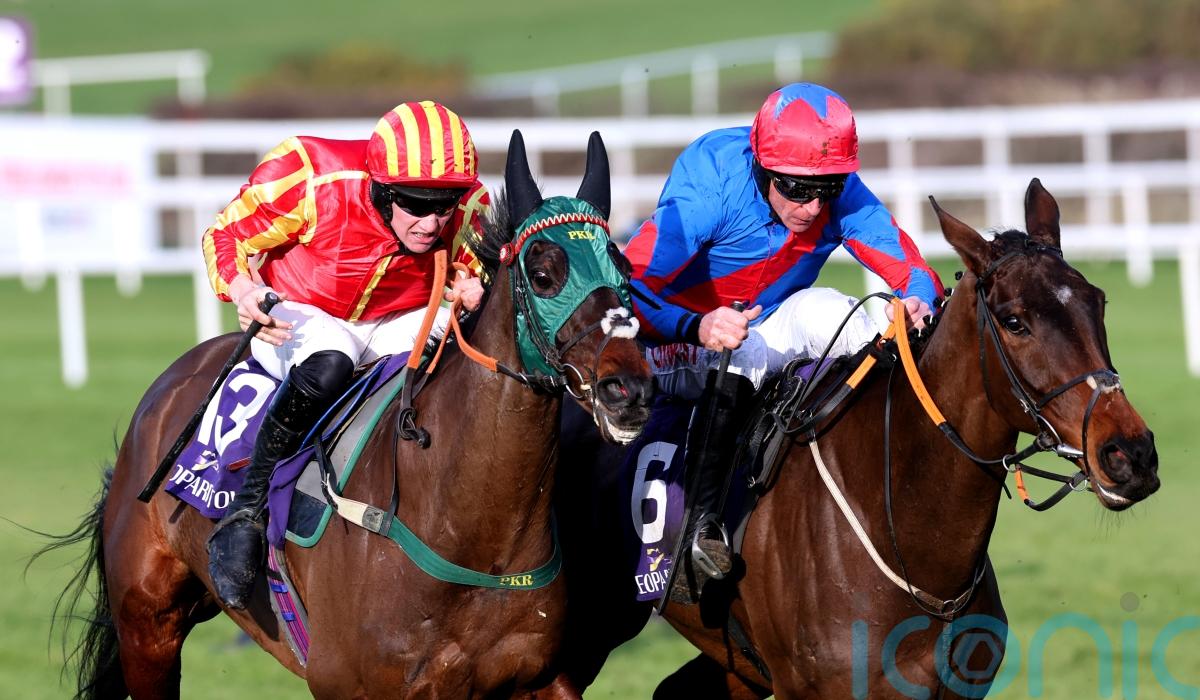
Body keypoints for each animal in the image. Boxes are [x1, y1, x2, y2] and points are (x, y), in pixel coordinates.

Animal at [41, 129, 654, 699]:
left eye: (625, 270)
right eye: (544, 274)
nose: (627, 389)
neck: (473, 533)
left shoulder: (540, 677)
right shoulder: (353, 683)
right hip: (148, 627)